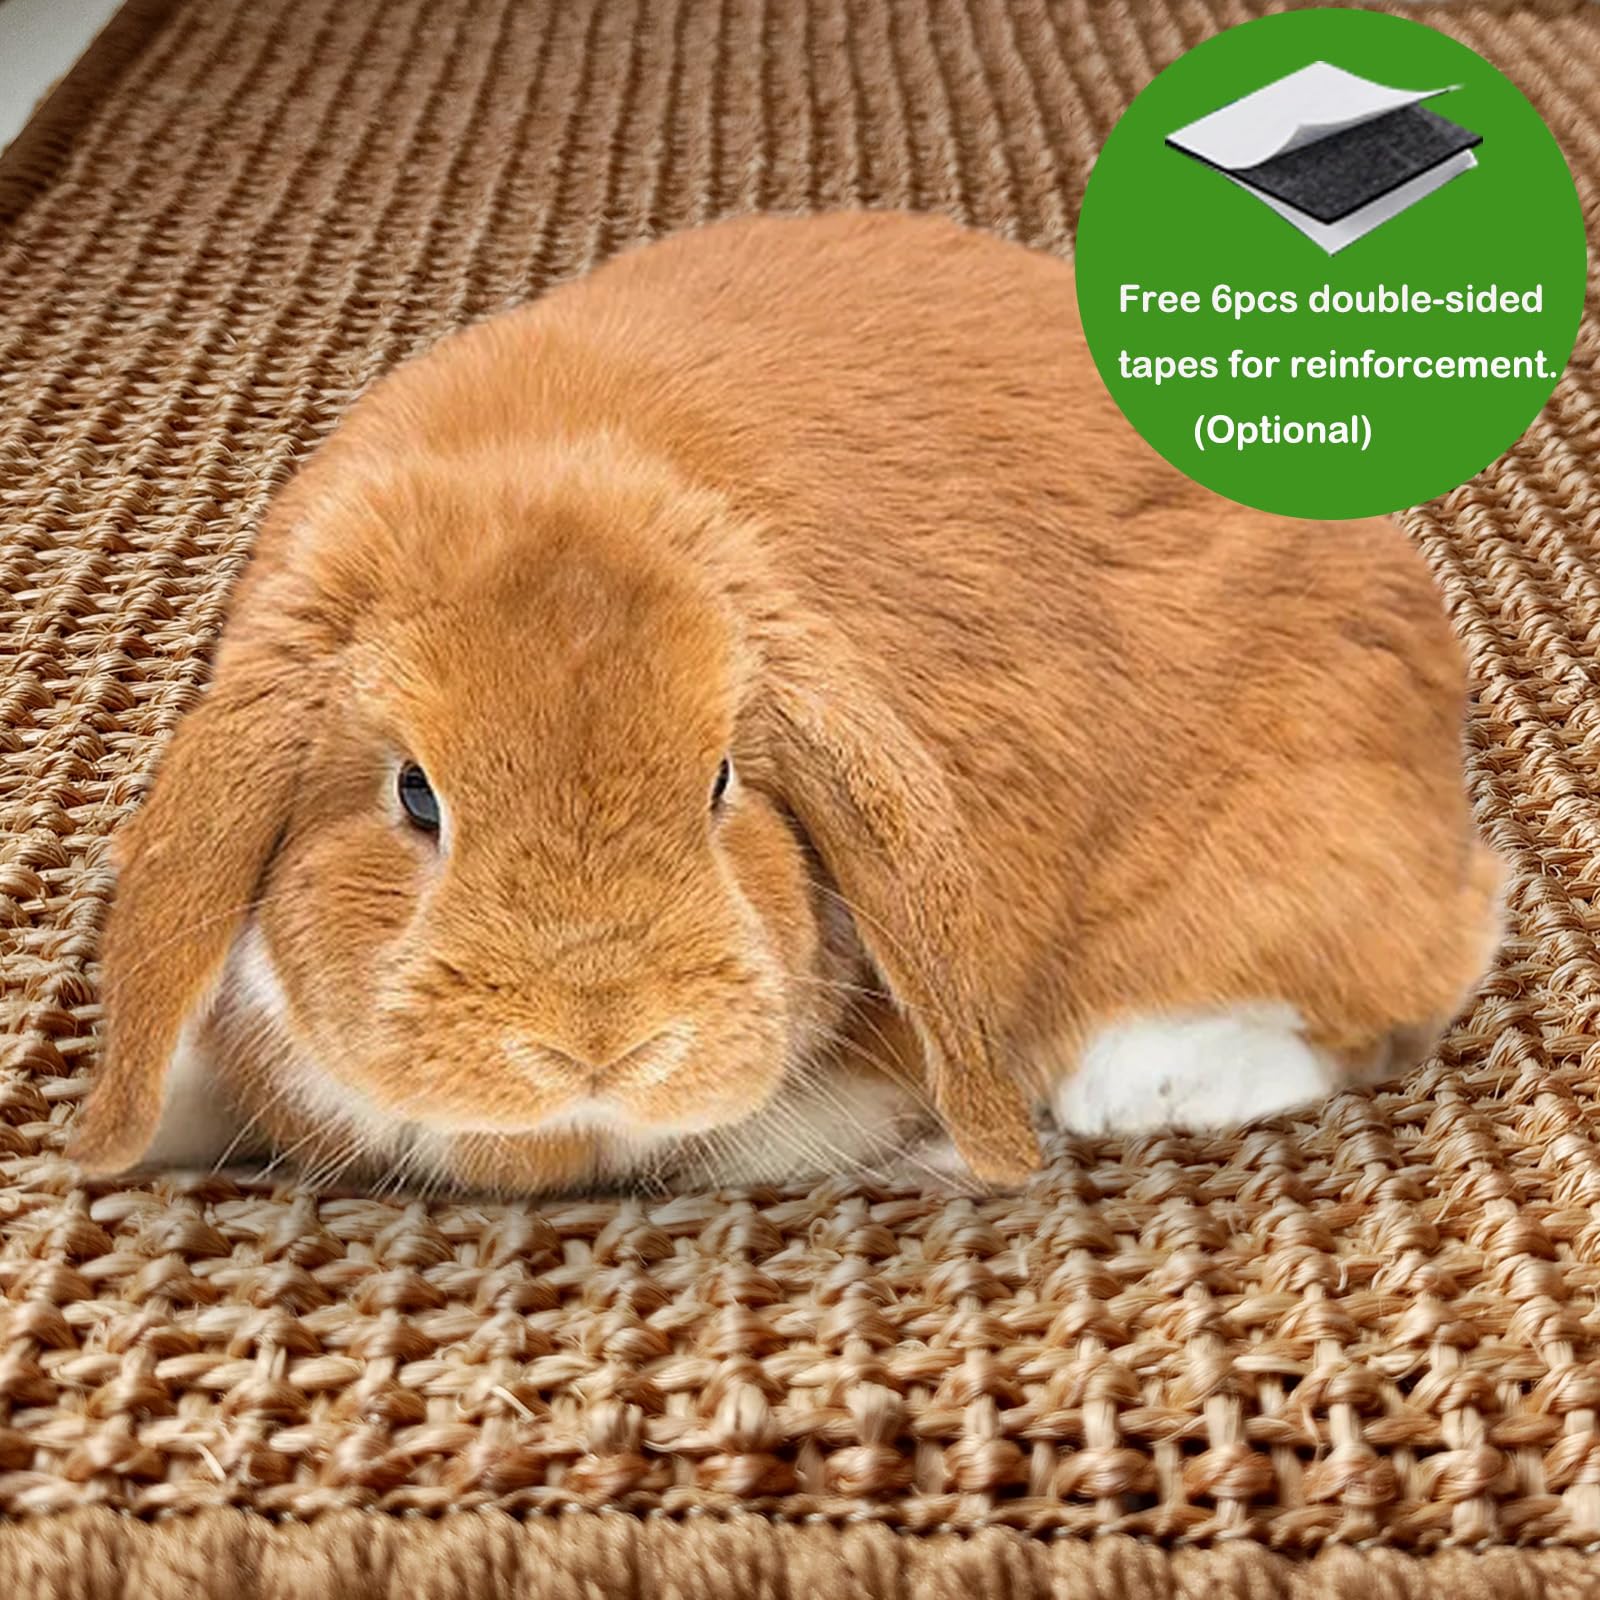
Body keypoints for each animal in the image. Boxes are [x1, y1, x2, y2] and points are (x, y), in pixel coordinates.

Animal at [68, 209, 1505, 1194]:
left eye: (721, 781)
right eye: (414, 794)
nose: (600, 1037)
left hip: (1291, 849)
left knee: (1392, 992)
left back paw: (1135, 1086)